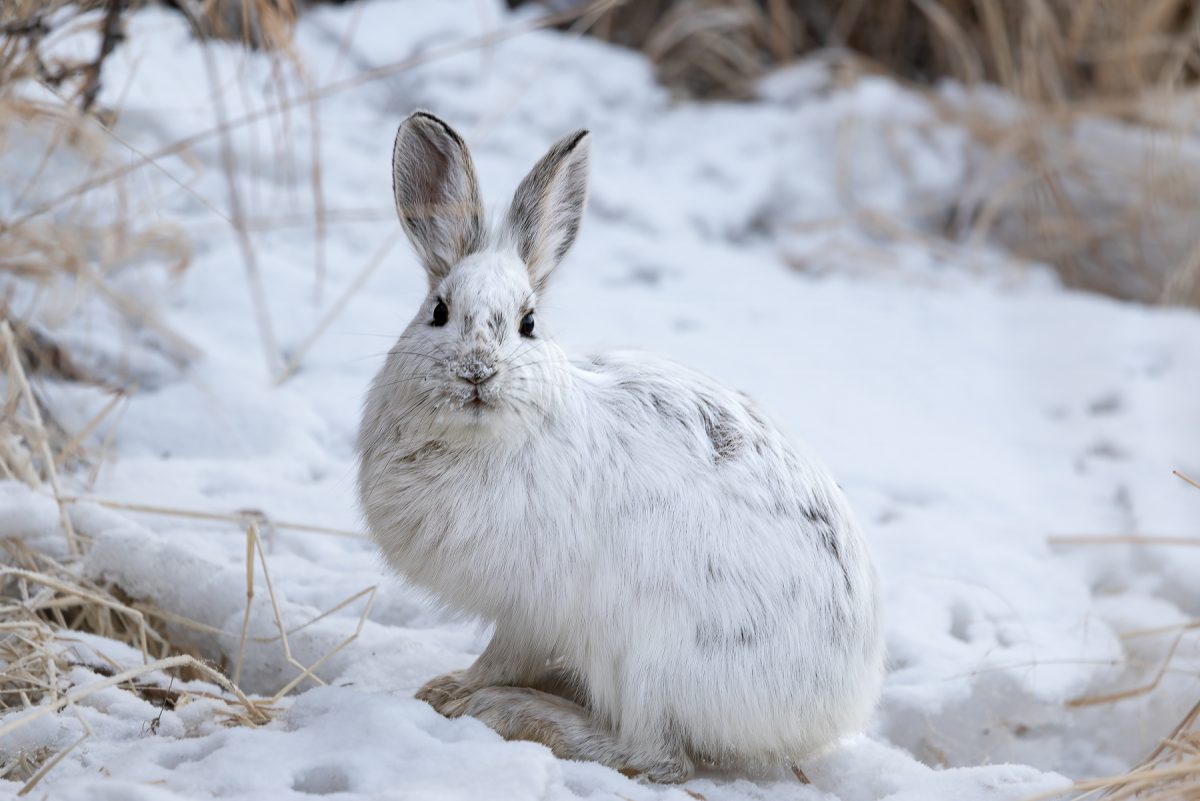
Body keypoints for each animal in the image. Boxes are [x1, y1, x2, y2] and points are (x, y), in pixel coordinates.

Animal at [357, 111, 884, 783]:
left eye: (528, 323)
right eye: (439, 312)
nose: (477, 372)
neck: (486, 438)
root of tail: (829, 713)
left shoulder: (531, 609)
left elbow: (503, 655)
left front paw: (453, 691)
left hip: (647, 654)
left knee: (655, 757)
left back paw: (521, 712)